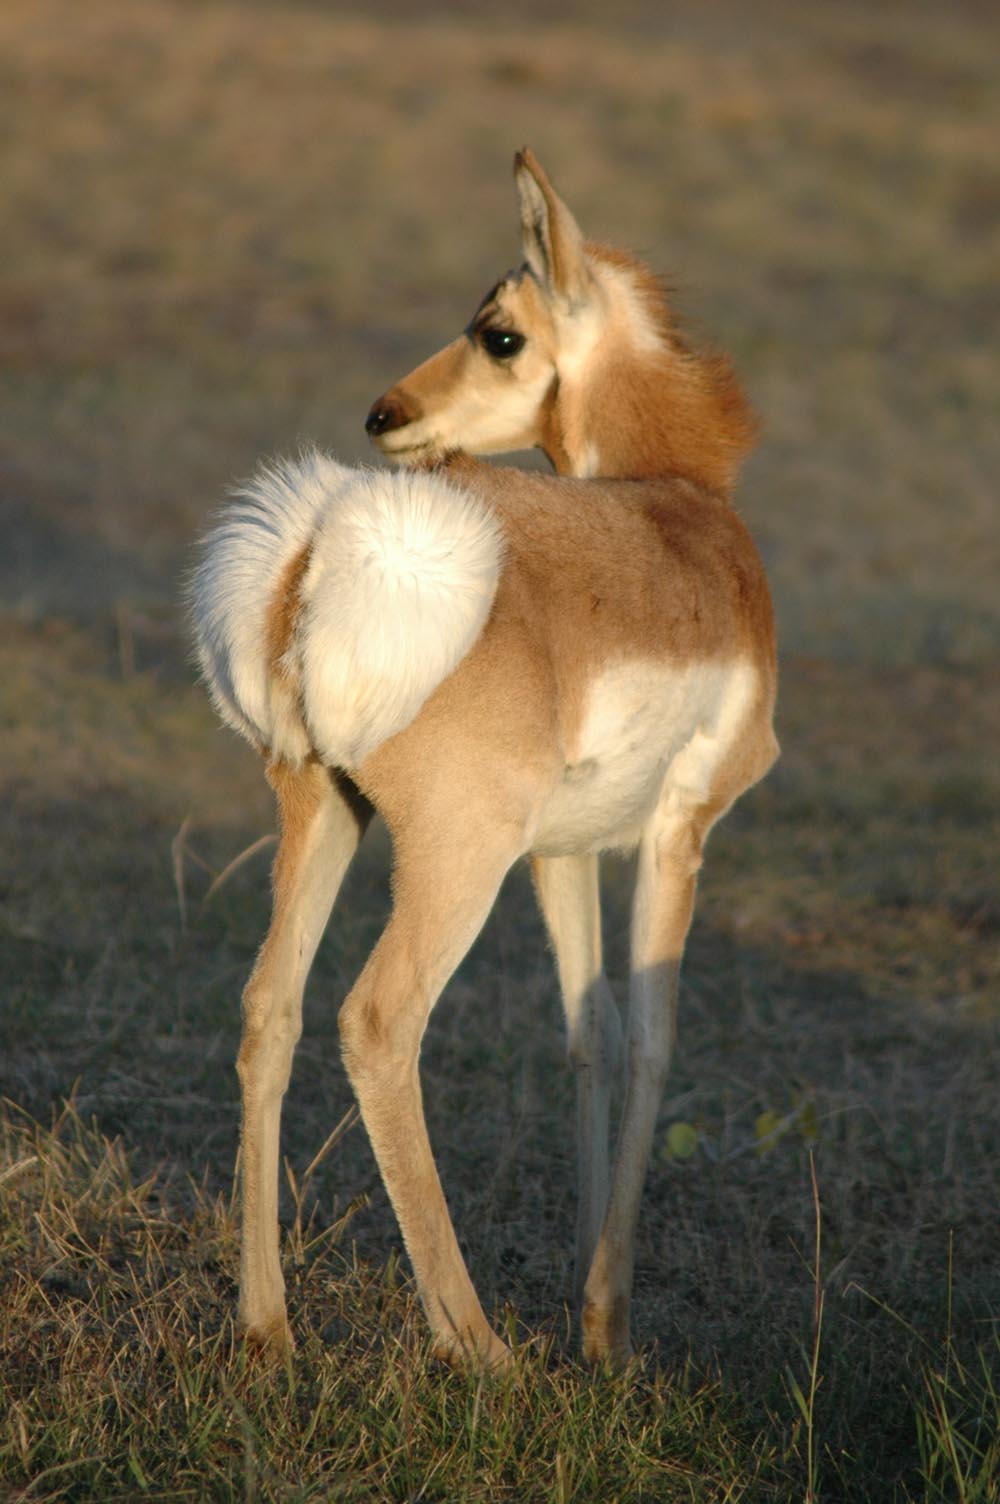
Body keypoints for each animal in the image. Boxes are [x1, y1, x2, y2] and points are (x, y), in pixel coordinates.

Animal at [192, 149, 777, 1371]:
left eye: (497, 331)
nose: (386, 413)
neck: (679, 512)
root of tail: (323, 538)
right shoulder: (678, 835)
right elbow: (653, 1038)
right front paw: (608, 1329)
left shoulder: (567, 854)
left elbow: (589, 1031)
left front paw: (587, 1300)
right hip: (458, 864)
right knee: (376, 1023)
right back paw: (478, 1348)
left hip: (326, 815)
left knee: (271, 1006)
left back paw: (268, 1325)